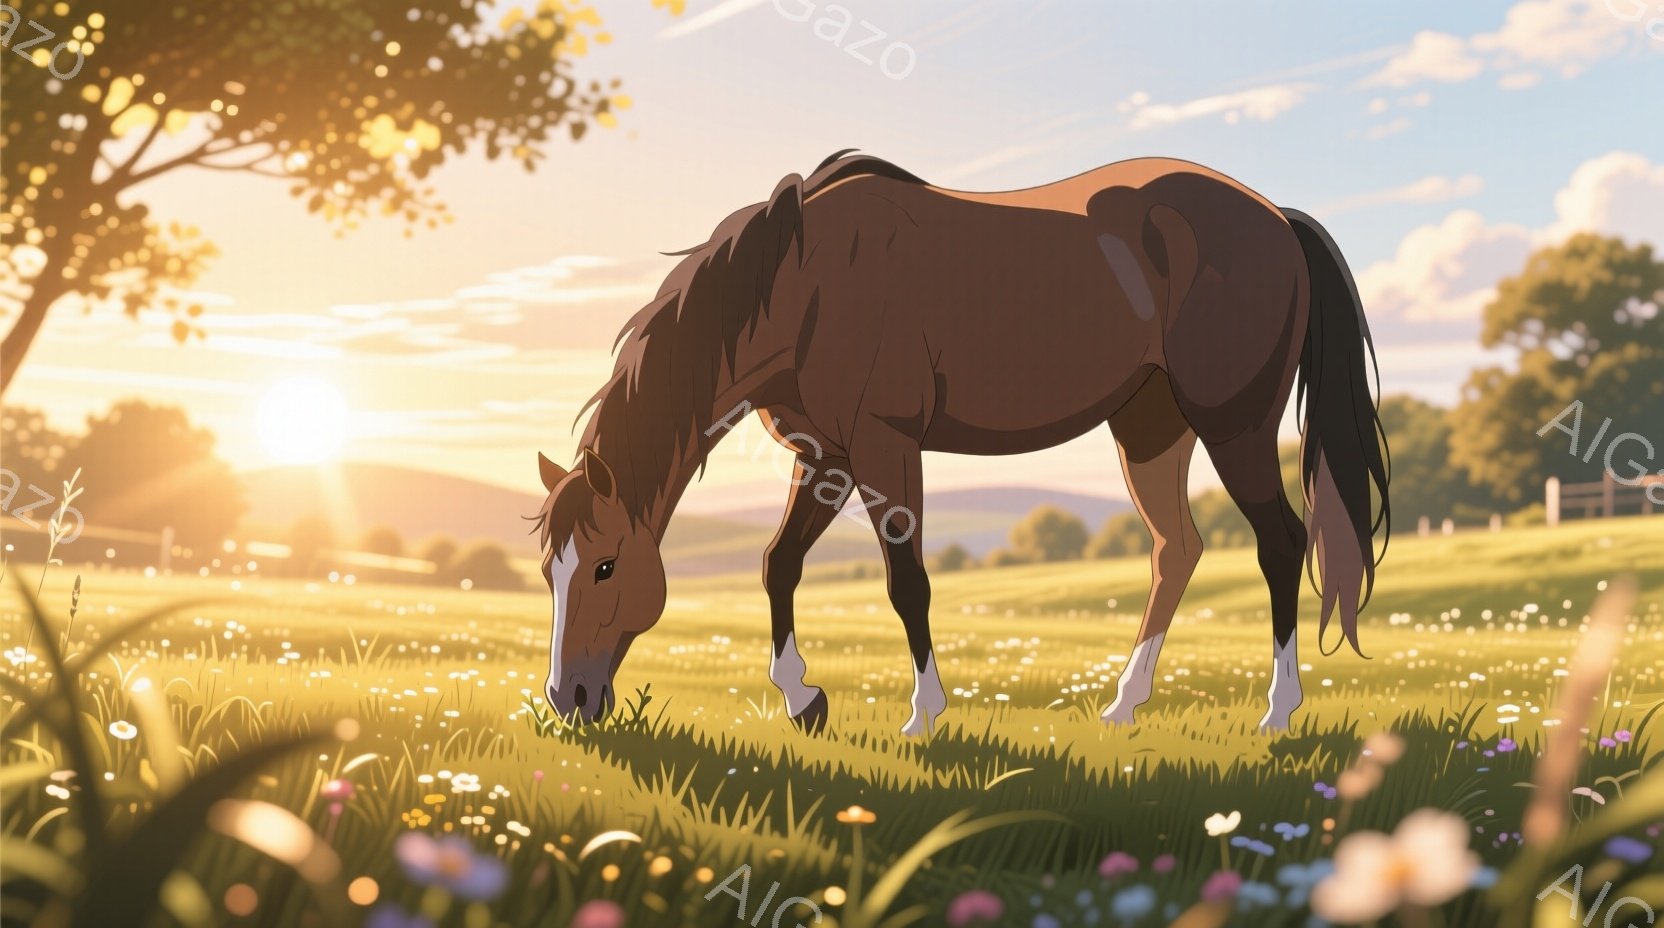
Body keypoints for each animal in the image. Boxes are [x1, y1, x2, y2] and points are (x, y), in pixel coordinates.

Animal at [533, 150, 1388, 735]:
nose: (569, 699)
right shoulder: (826, 456)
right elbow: (779, 564)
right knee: (1175, 549)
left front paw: (923, 714)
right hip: (1150, 427)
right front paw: (804, 699)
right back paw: (1123, 706)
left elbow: (906, 581)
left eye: (605, 566)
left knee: (1280, 543)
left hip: (1233, 423)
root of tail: (1275, 216)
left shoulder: (883, 446)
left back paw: (1278, 712)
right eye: (550, 570)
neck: (804, 286)